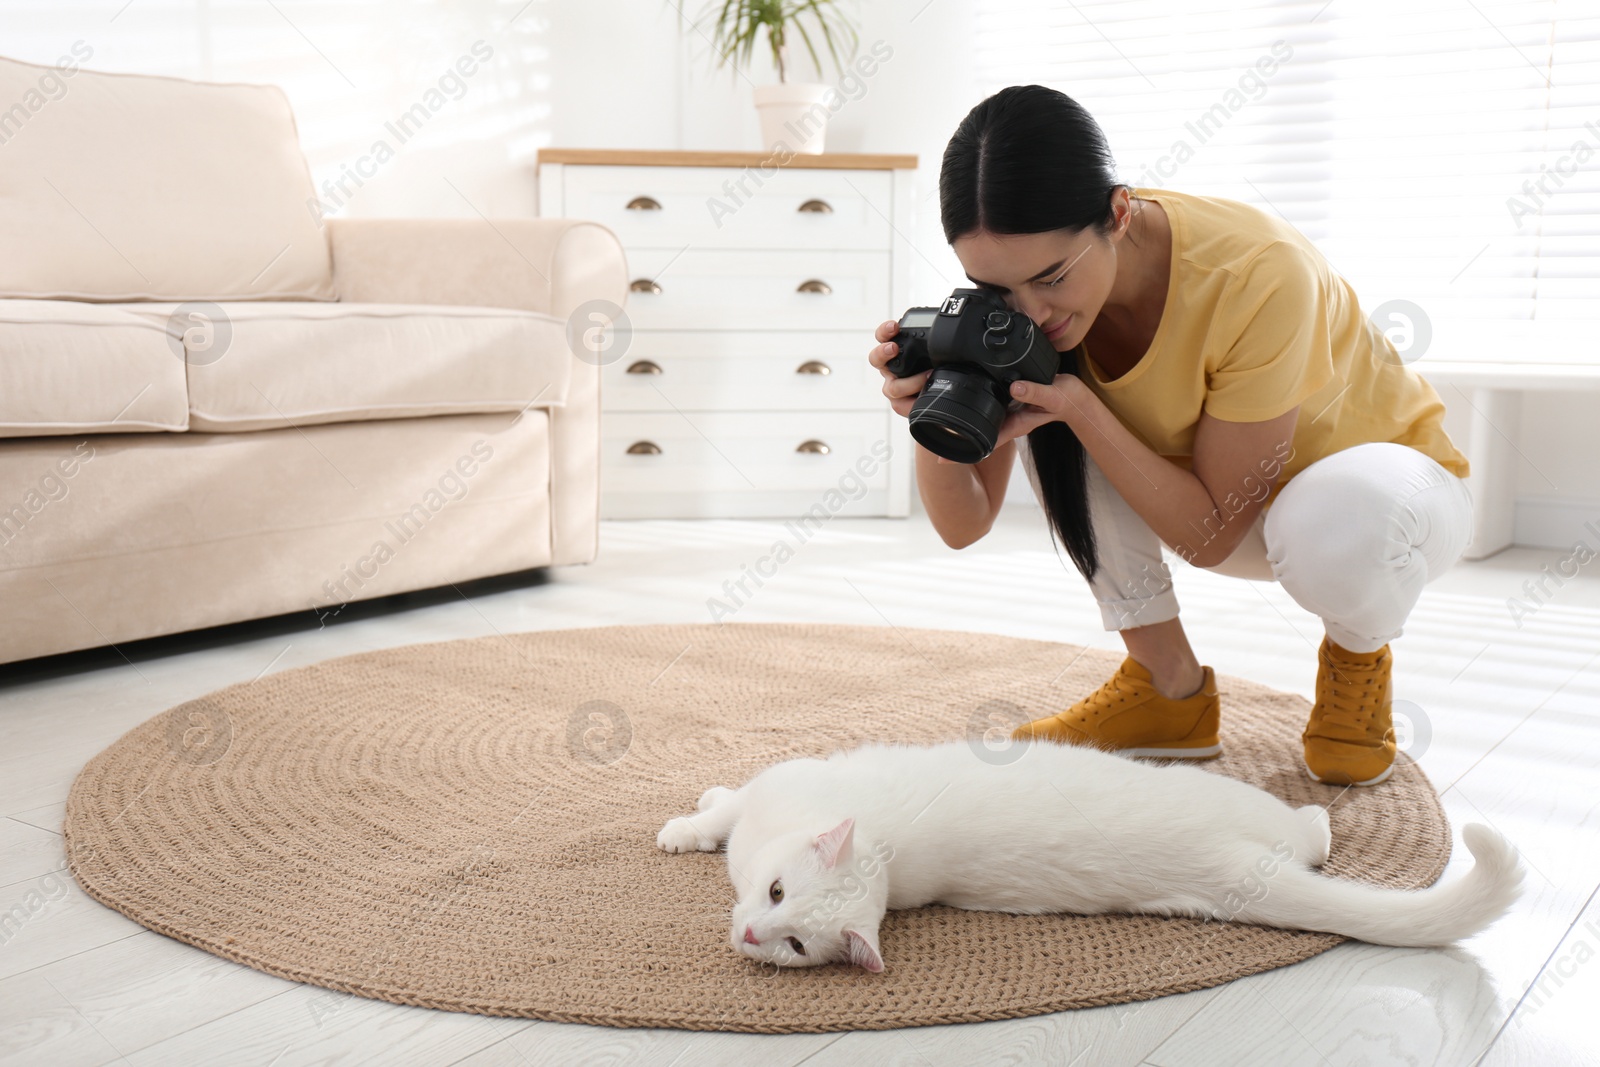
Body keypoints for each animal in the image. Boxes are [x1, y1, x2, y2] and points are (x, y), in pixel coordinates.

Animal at [652, 739, 1523, 972]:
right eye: (774, 895)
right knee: (1315, 839)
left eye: (794, 938)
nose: (753, 935)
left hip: (1233, 800)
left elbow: (722, 806)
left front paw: (683, 824)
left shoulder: (775, 785)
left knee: (1310, 829)